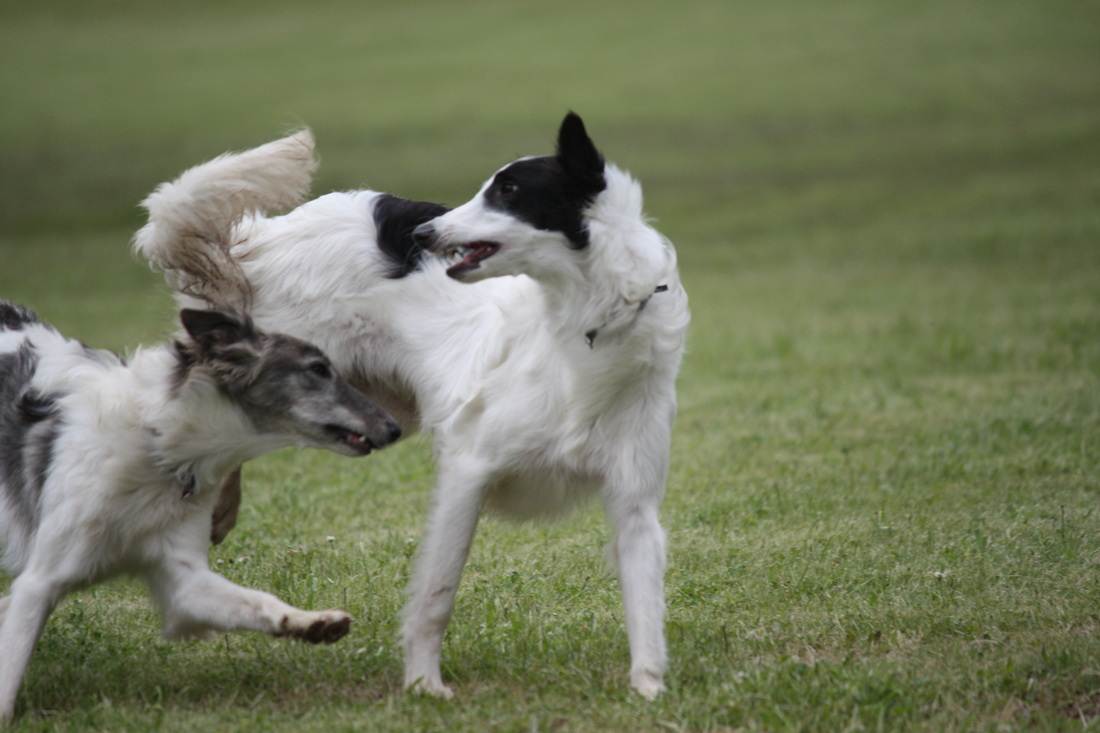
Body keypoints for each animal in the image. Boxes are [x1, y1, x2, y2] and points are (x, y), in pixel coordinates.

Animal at [137, 112, 686, 695]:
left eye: (509, 191)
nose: (425, 235)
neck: (587, 329)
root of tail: (258, 236)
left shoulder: (634, 502)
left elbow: (645, 605)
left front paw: (648, 691)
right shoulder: (468, 468)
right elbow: (436, 595)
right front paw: (425, 685)